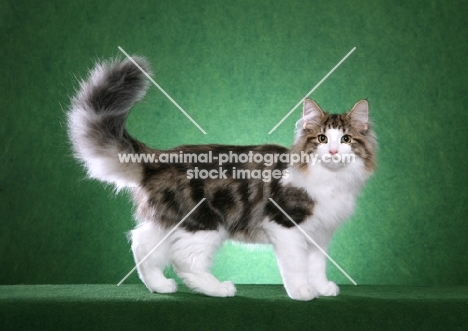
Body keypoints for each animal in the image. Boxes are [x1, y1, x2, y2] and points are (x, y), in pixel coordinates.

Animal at [67, 56, 376, 300]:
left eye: (346, 139)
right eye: (322, 139)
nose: (334, 151)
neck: (331, 181)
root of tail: (162, 158)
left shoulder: (319, 233)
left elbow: (316, 265)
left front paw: (322, 287)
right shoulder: (286, 226)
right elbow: (297, 266)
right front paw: (302, 292)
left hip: (172, 220)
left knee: (142, 243)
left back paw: (159, 286)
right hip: (204, 222)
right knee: (183, 260)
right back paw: (218, 289)